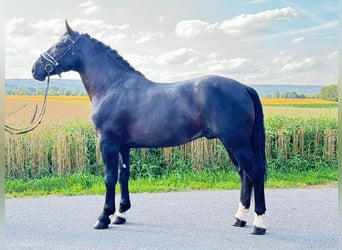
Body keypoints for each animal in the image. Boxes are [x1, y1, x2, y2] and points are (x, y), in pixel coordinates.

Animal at [32, 21, 268, 234]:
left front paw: (103, 217)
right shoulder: (123, 146)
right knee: (244, 174)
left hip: (236, 142)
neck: (112, 86)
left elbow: (109, 178)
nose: (35, 69)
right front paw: (120, 214)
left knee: (254, 173)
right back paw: (239, 218)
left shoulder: (108, 143)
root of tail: (243, 87)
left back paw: (259, 223)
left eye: (59, 45)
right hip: (231, 144)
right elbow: (123, 175)